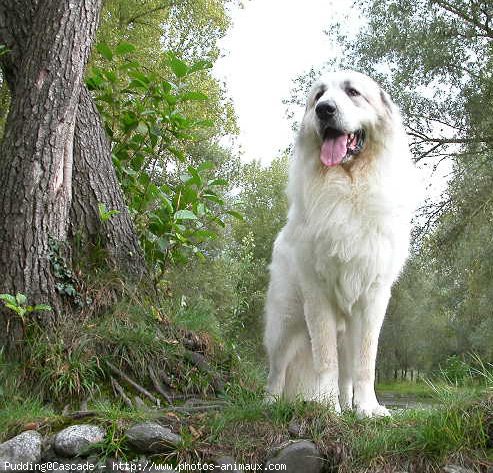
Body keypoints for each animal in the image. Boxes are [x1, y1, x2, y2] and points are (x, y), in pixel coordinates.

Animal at [264, 70, 418, 416]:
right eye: (319, 95)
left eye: (352, 92)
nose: (325, 110)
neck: (348, 186)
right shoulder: (318, 295)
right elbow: (325, 360)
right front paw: (324, 404)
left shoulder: (373, 298)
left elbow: (365, 363)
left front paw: (368, 409)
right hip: (286, 321)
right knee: (277, 369)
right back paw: (270, 402)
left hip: (346, 328)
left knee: (347, 372)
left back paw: (349, 406)